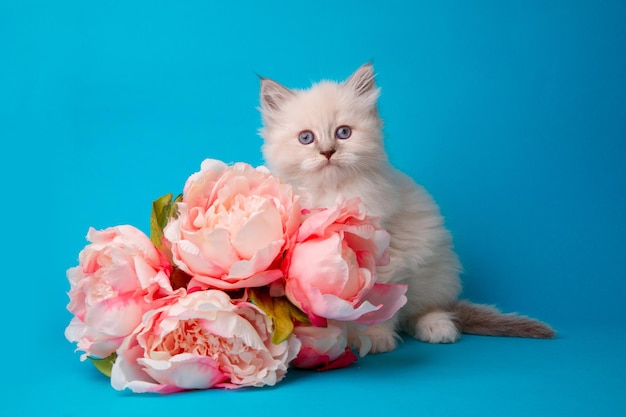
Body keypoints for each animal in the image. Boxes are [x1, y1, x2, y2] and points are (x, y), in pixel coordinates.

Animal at [256, 62, 552, 354]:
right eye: (306, 138)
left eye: (344, 133)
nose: (328, 152)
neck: (333, 192)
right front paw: (321, 337)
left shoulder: (386, 256)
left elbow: (375, 306)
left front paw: (373, 338)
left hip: (437, 271)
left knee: (427, 309)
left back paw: (437, 327)